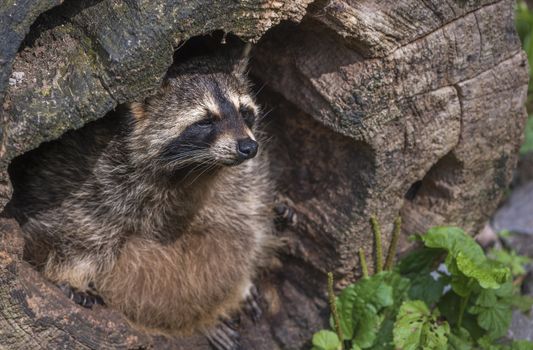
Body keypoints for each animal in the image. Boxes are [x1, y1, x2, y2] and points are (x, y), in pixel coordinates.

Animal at [8, 53, 276, 348]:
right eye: (206, 121)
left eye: (244, 112)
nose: (248, 147)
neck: (197, 170)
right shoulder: (97, 183)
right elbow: (71, 232)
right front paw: (68, 274)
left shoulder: (241, 186)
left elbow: (242, 237)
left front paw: (237, 289)